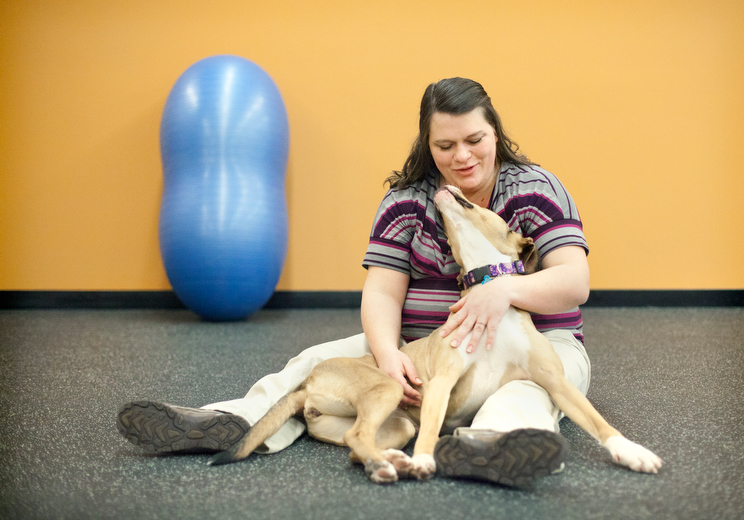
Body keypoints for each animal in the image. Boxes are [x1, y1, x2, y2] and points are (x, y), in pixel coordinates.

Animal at [211, 185, 664, 482]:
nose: (448, 188)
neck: (488, 289)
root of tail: (307, 383)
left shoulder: (555, 382)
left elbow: (598, 421)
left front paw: (632, 452)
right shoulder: (441, 383)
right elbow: (431, 427)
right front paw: (426, 460)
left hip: (394, 423)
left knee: (359, 445)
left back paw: (388, 461)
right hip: (388, 389)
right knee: (363, 437)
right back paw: (394, 463)